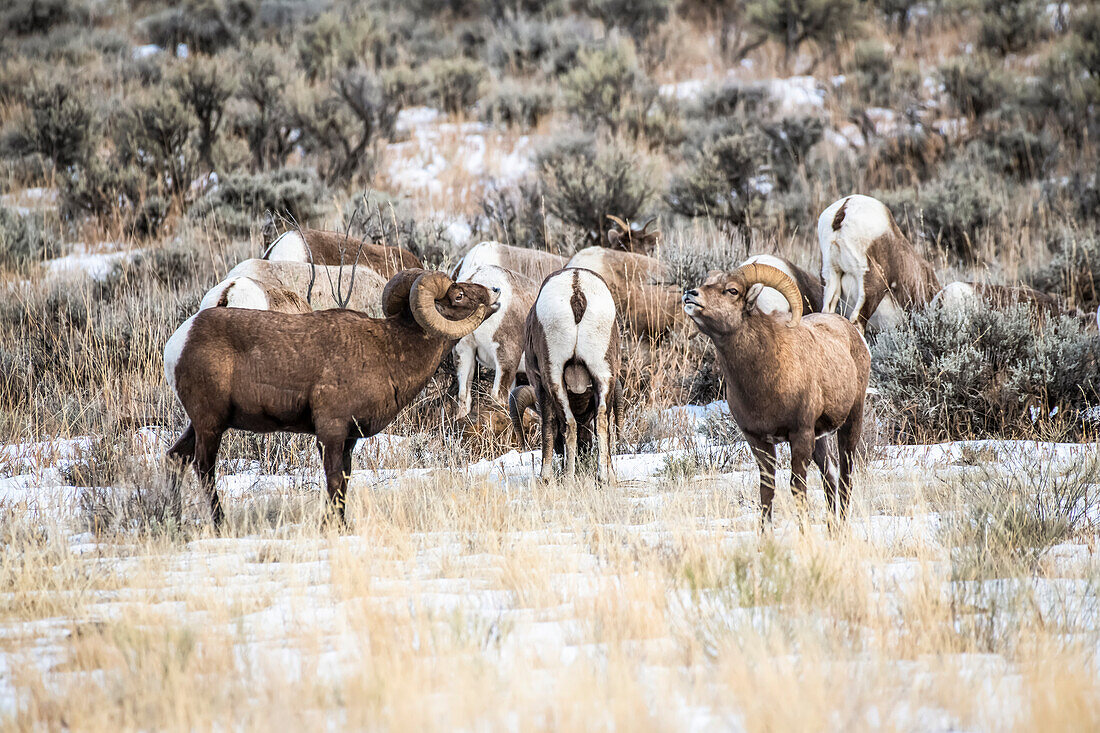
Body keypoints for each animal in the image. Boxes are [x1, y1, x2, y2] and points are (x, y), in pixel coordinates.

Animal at [163, 270, 499, 521]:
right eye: (459, 295)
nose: (495, 292)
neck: (390, 350)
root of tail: (178, 343)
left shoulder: (348, 438)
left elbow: (343, 483)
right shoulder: (331, 432)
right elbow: (334, 480)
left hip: (201, 424)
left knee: (175, 458)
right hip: (210, 424)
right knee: (203, 469)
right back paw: (220, 524)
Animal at [682, 263, 871, 526]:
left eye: (732, 290)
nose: (691, 295)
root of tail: (854, 334)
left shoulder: (800, 435)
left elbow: (797, 487)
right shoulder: (758, 440)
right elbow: (766, 490)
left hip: (851, 422)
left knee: (845, 477)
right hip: (820, 439)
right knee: (830, 476)